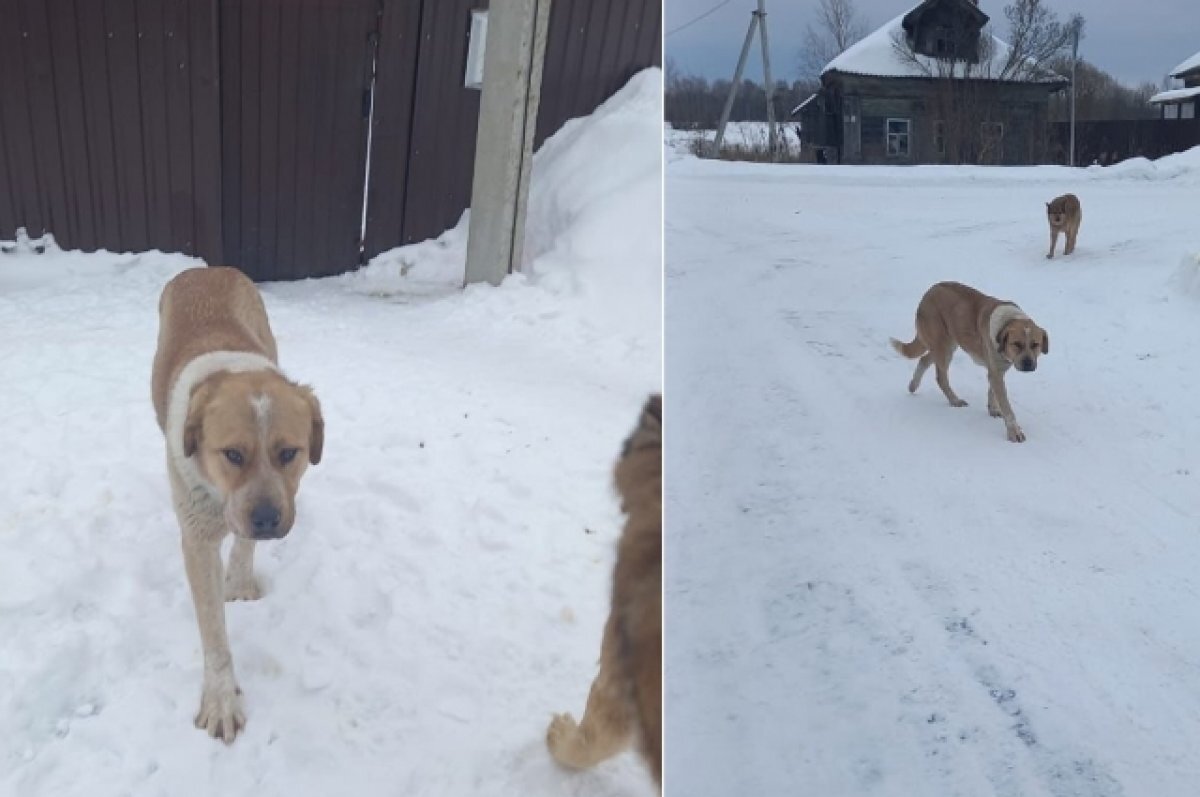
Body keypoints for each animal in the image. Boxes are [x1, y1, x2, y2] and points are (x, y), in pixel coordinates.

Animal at [151, 266, 324, 739]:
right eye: (232, 454)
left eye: (289, 453)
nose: (266, 519)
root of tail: (205, 268)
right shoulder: (196, 539)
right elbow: (213, 636)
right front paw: (221, 700)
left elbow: (244, 547)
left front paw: (241, 582)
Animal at [892, 279, 1051, 441]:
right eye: (1017, 344)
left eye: (1035, 344)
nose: (1028, 364)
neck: (1006, 323)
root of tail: (928, 293)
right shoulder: (996, 372)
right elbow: (1007, 407)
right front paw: (1014, 432)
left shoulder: (996, 371)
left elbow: (992, 392)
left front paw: (993, 409)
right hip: (943, 346)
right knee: (941, 377)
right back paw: (954, 400)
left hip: (946, 344)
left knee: (924, 359)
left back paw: (913, 385)